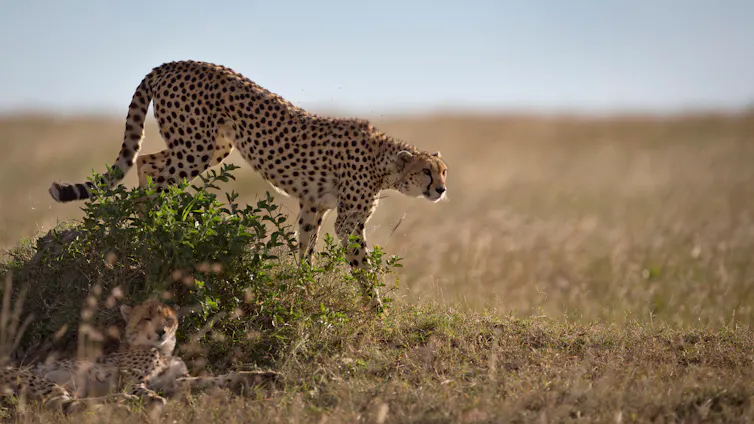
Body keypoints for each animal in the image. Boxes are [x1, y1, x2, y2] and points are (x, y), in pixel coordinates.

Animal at [0, 299, 279, 414]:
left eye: (168, 319)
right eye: (146, 318)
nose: (161, 331)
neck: (162, 351)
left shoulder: (175, 380)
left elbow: (217, 378)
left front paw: (260, 375)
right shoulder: (132, 379)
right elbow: (142, 388)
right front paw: (155, 400)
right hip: (40, 380)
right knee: (66, 404)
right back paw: (125, 403)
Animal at [47, 60, 449, 293]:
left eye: (443, 171)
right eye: (425, 171)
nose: (442, 189)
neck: (384, 162)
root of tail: (176, 62)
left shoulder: (313, 205)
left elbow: (305, 248)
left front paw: (302, 287)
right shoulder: (348, 222)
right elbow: (361, 268)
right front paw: (374, 308)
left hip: (212, 147)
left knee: (146, 161)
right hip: (196, 146)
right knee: (155, 180)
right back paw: (156, 226)